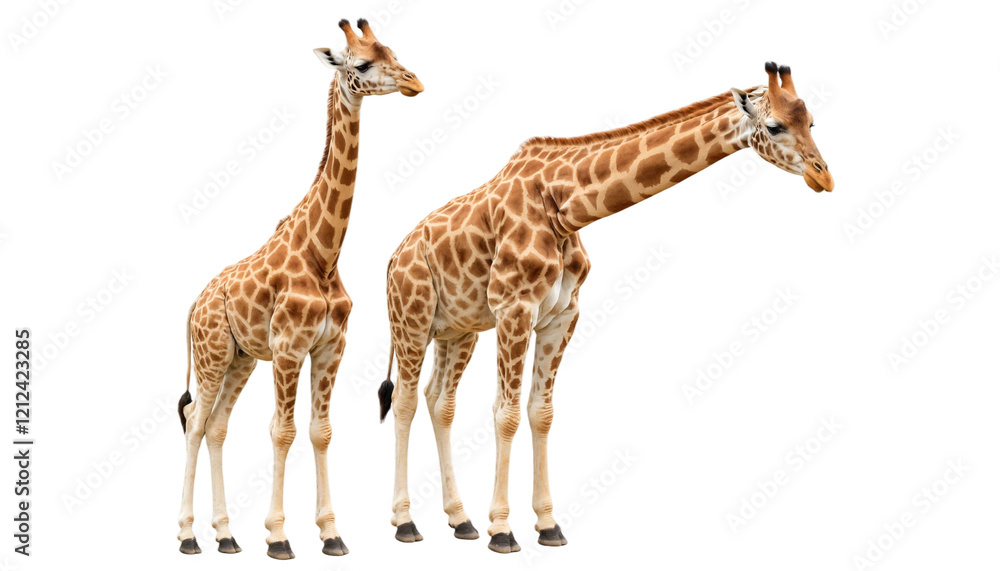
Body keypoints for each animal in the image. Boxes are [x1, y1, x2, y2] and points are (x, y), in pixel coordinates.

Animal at [175, 18, 422, 559]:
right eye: (363, 64)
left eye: (393, 52)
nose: (415, 82)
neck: (324, 254)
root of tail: (193, 305)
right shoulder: (289, 348)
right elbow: (283, 431)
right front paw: (278, 536)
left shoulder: (330, 346)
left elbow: (320, 431)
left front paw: (331, 533)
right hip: (212, 354)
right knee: (196, 421)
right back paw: (186, 535)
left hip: (241, 359)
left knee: (217, 427)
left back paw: (225, 535)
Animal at [378, 62, 832, 552]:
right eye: (775, 126)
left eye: (812, 123)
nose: (824, 177)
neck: (563, 208)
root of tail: (393, 258)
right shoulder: (514, 309)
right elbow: (507, 413)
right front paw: (502, 530)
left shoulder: (561, 317)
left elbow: (541, 413)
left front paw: (547, 525)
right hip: (411, 317)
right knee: (404, 400)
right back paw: (405, 522)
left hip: (458, 328)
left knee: (438, 400)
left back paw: (459, 519)